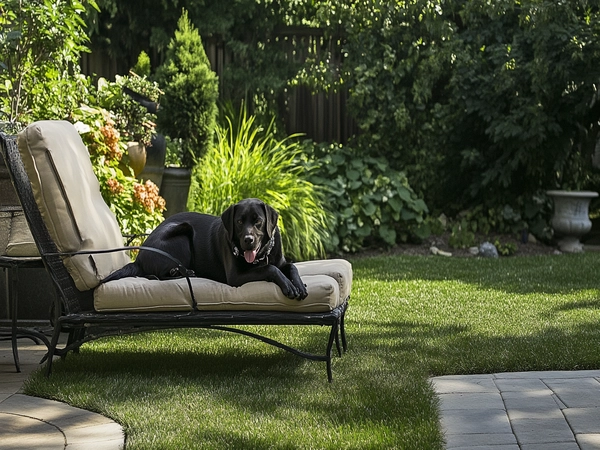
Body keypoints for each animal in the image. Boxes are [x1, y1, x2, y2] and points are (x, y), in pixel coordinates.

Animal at [101, 200, 308, 298]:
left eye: (258, 221)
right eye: (240, 222)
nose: (248, 240)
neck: (262, 255)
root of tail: (138, 258)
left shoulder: (281, 261)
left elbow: (291, 267)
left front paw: (299, 284)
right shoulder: (235, 277)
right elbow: (270, 268)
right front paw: (288, 286)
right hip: (182, 233)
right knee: (159, 275)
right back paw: (186, 273)